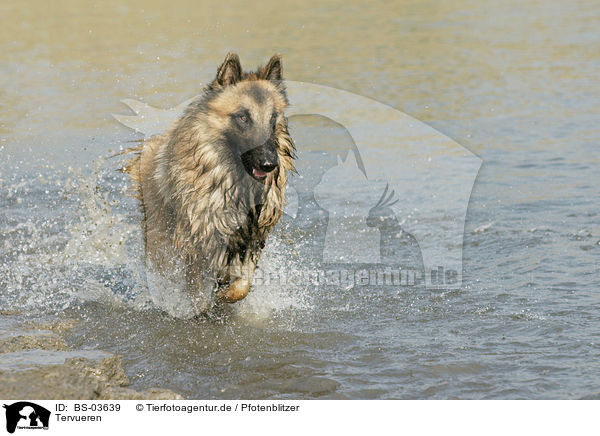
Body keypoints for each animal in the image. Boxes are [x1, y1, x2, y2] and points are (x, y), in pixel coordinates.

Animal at [123, 53, 296, 314]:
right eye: (243, 117)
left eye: (273, 118)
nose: (269, 164)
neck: (234, 181)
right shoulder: (195, 242)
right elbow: (198, 291)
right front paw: (204, 307)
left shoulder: (250, 239)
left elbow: (242, 285)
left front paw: (225, 295)